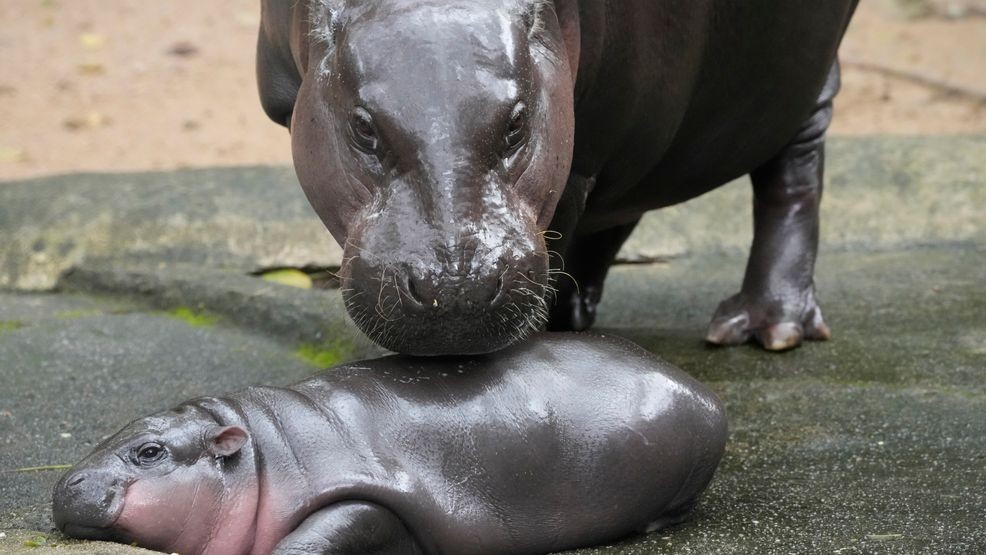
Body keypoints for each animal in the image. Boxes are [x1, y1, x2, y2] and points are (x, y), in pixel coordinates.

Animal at [55, 334, 732, 555]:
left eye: (149, 452)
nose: (67, 483)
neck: (261, 454)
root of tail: (701, 388)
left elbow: (323, 534)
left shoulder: (367, 497)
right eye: (115, 432)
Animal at [258, 0, 856, 356]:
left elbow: (562, 228)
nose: (456, 286)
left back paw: (765, 328)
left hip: (797, 85)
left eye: (517, 122)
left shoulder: (579, 154)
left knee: (793, 177)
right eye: (363, 127)